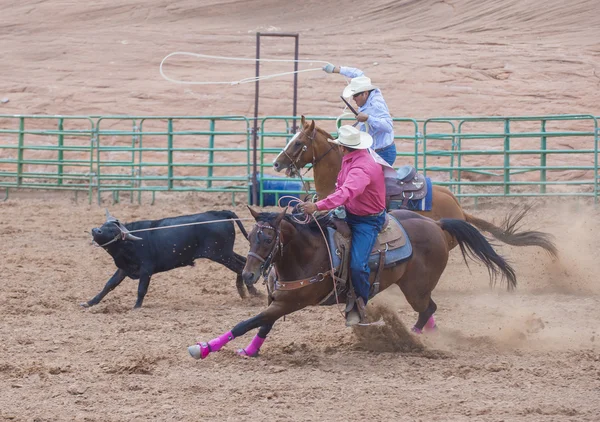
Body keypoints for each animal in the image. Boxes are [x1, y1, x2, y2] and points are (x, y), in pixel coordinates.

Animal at [188, 208, 516, 360]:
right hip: (414, 287)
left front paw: (203, 347)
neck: (307, 253)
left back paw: (409, 338)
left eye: (268, 239)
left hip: (416, 288)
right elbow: (262, 325)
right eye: (251, 237)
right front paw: (249, 351)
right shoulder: (280, 300)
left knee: (427, 309)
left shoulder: (291, 302)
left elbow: (247, 322)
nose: (248, 275)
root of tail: (436, 224)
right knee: (430, 310)